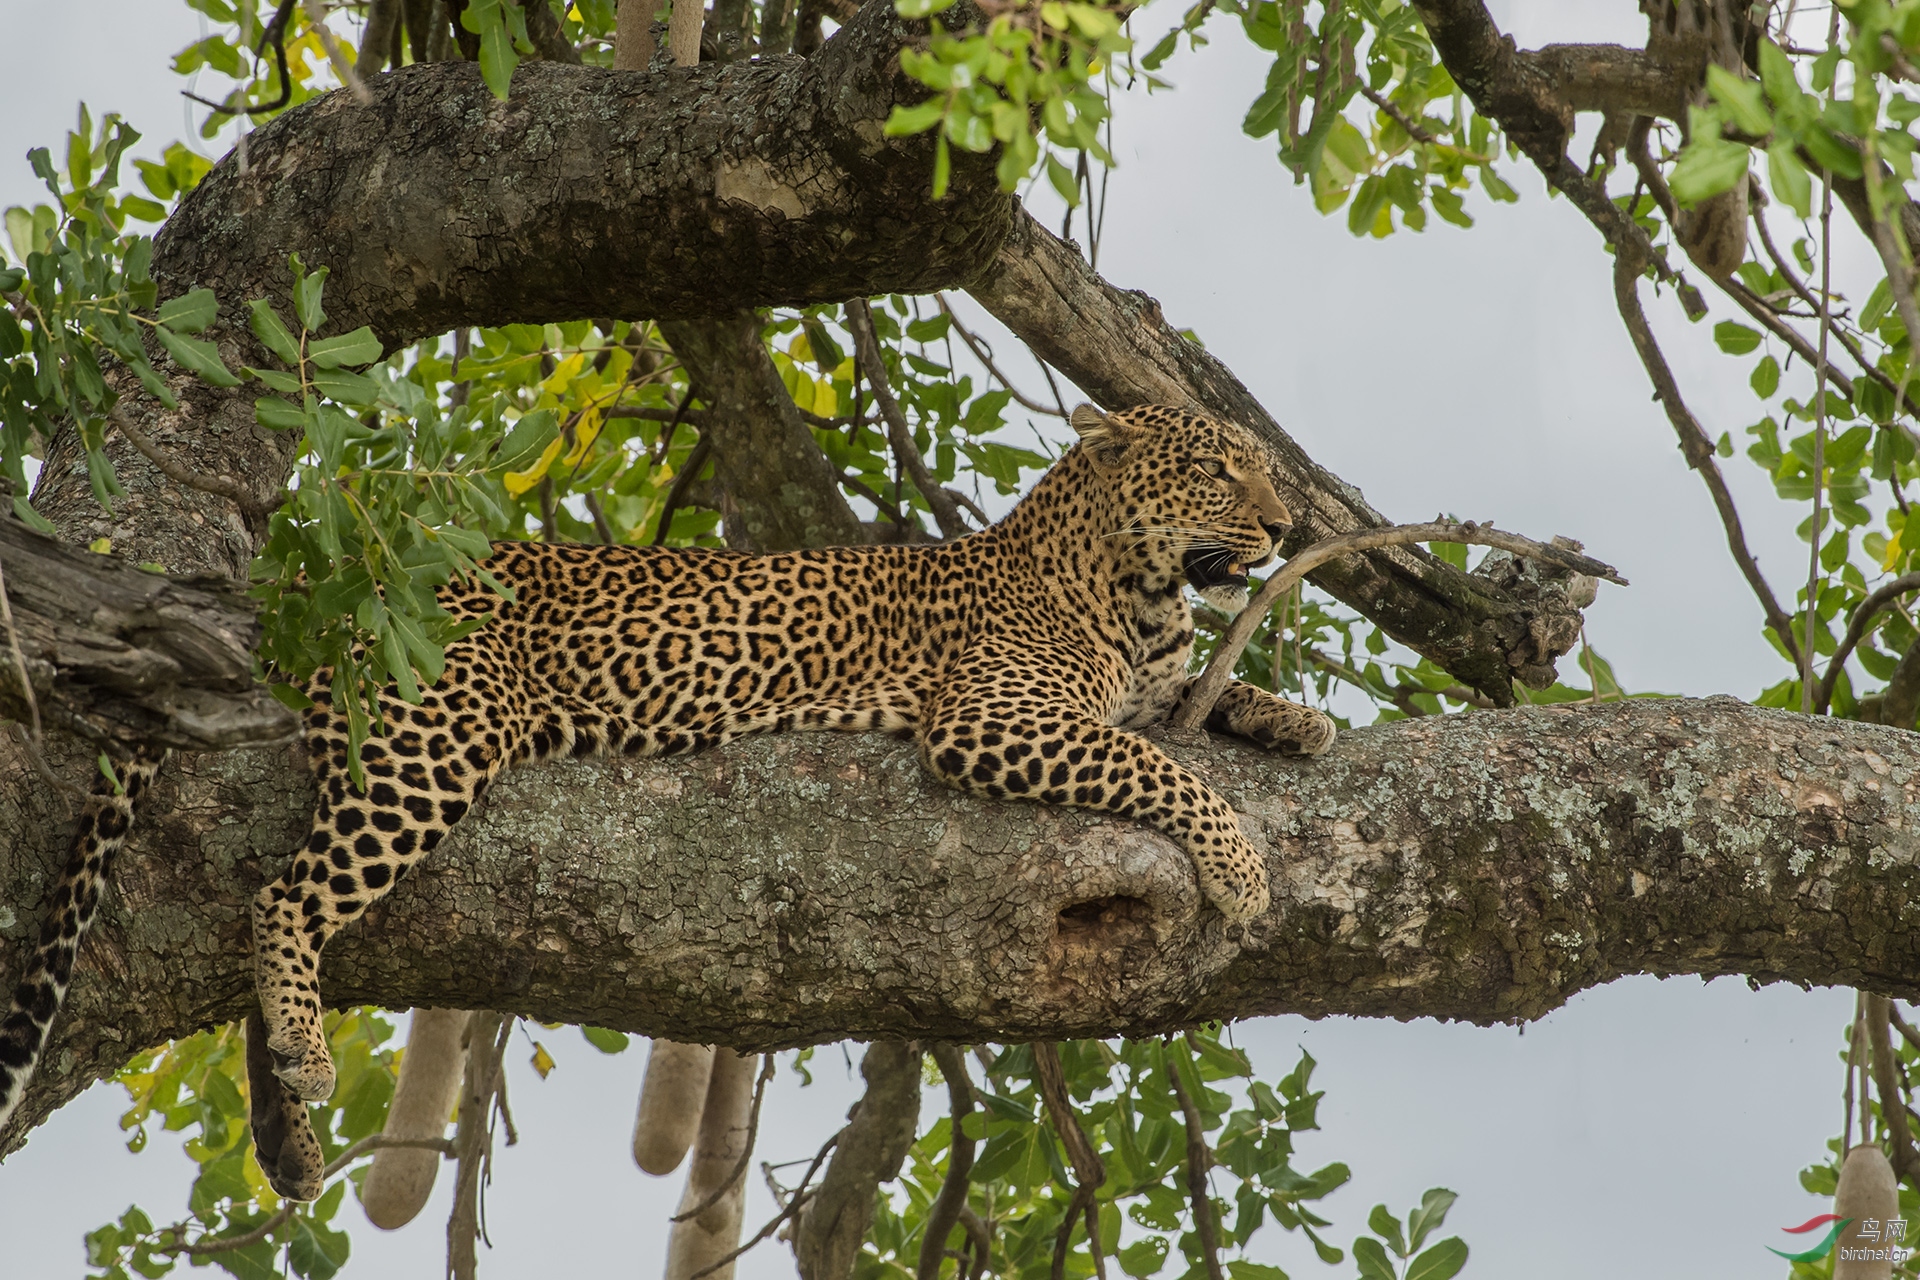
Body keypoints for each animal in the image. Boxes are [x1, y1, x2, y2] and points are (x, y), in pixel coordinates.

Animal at [0, 402, 1336, 1205]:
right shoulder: (990, 716)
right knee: (283, 895)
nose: (1283, 526)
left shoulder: (1146, 682)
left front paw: (1295, 716)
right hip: (446, 727)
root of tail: (320, 578)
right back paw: (311, 1054)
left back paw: (287, 1123)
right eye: (1218, 468)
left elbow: (1202, 704)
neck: (1137, 594)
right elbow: (1162, 766)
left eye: (1265, 470)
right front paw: (1242, 867)